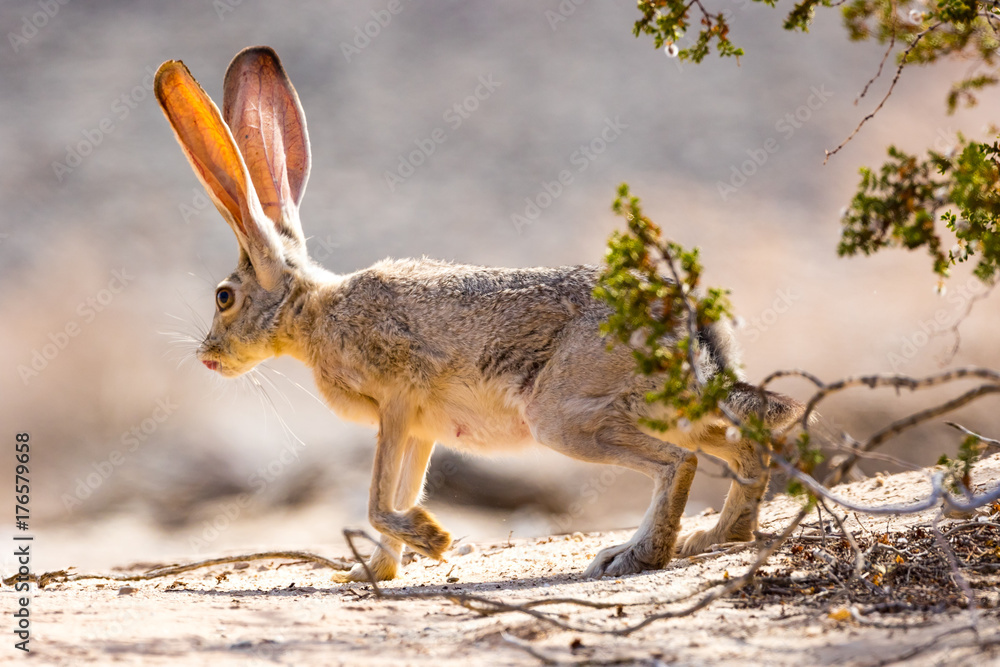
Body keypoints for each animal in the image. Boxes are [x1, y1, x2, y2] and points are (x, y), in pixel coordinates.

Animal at [153, 46, 803, 581]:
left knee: (679, 462)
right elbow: (398, 492)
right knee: (745, 446)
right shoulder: (419, 427)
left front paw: (433, 540)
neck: (314, 312)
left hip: (565, 416)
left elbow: (377, 501)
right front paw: (372, 574)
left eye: (223, 296)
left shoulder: (396, 400)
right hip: (665, 411)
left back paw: (634, 556)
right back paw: (717, 537)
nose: (207, 356)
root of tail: (690, 326)